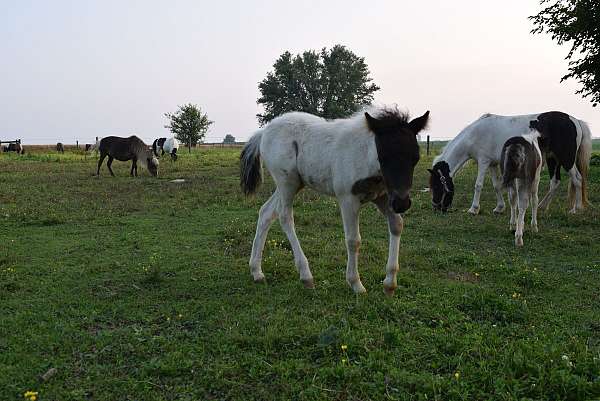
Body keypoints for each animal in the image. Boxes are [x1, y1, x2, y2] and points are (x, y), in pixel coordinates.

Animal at [237, 106, 428, 294]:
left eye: (415, 158)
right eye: (383, 157)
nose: (402, 203)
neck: (364, 155)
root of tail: (263, 132)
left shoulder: (383, 196)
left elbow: (397, 225)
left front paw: (390, 283)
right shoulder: (348, 199)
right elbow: (353, 239)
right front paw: (356, 284)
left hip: (295, 184)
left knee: (266, 212)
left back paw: (256, 271)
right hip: (286, 182)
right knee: (285, 217)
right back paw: (306, 276)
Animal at [428, 111, 592, 214]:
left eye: (436, 185)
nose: (436, 207)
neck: (474, 135)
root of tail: (576, 121)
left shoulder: (483, 162)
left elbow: (478, 185)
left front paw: (473, 209)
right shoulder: (492, 164)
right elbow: (496, 185)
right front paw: (499, 208)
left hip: (566, 159)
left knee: (577, 179)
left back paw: (576, 209)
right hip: (553, 159)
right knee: (555, 182)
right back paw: (541, 207)